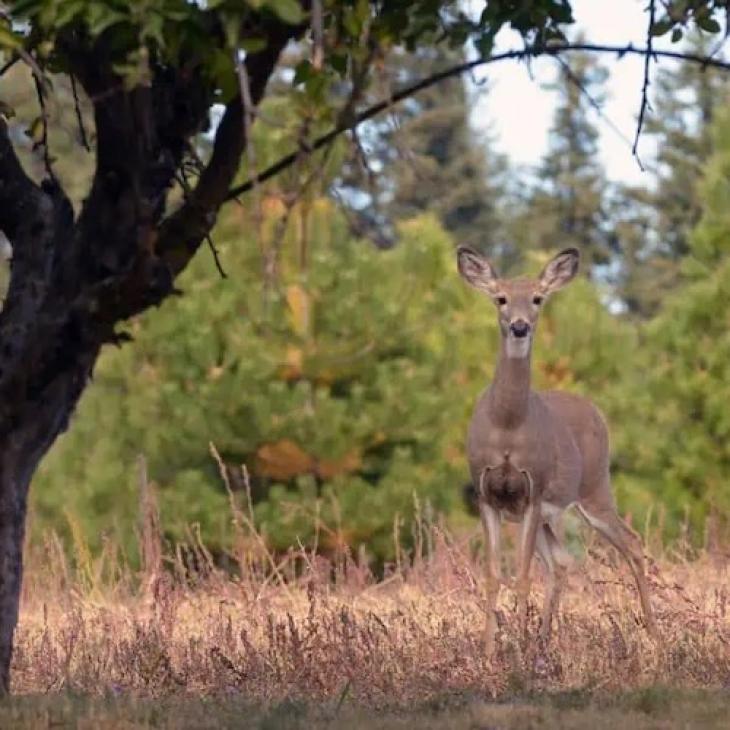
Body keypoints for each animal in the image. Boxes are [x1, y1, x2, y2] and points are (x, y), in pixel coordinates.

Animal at [456, 245, 656, 648]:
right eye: (501, 298)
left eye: (537, 298)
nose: (519, 326)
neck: (507, 426)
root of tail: (595, 410)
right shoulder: (487, 494)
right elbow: (493, 577)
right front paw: (489, 651)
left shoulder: (533, 490)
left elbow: (520, 577)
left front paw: (515, 648)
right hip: (554, 512)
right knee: (561, 562)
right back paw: (544, 641)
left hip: (594, 487)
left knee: (631, 543)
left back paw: (655, 636)